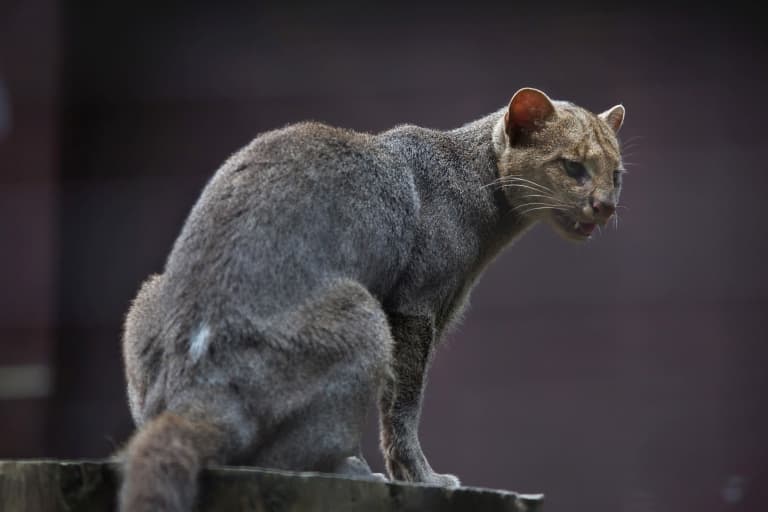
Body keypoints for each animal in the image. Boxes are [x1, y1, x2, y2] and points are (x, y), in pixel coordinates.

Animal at [118, 86, 624, 510]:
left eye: (617, 175)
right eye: (573, 166)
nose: (606, 205)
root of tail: (198, 384)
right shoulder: (416, 307)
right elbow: (403, 404)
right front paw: (423, 477)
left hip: (147, 296)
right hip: (361, 315)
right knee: (275, 454)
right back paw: (353, 470)